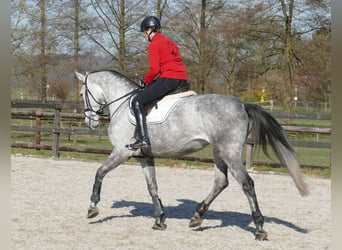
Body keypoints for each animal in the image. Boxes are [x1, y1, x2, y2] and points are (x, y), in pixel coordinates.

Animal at [75, 69, 310, 240]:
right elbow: (152, 187)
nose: (90, 121)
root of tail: (241, 104)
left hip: (230, 152)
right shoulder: (144, 156)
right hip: (219, 152)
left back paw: (259, 228)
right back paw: (197, 216)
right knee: (220, 182)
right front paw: (159, 220)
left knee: (247, 184)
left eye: (81, 94)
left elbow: (99, 172)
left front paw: (92, 207)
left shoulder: (122, 152)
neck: (123, 104)